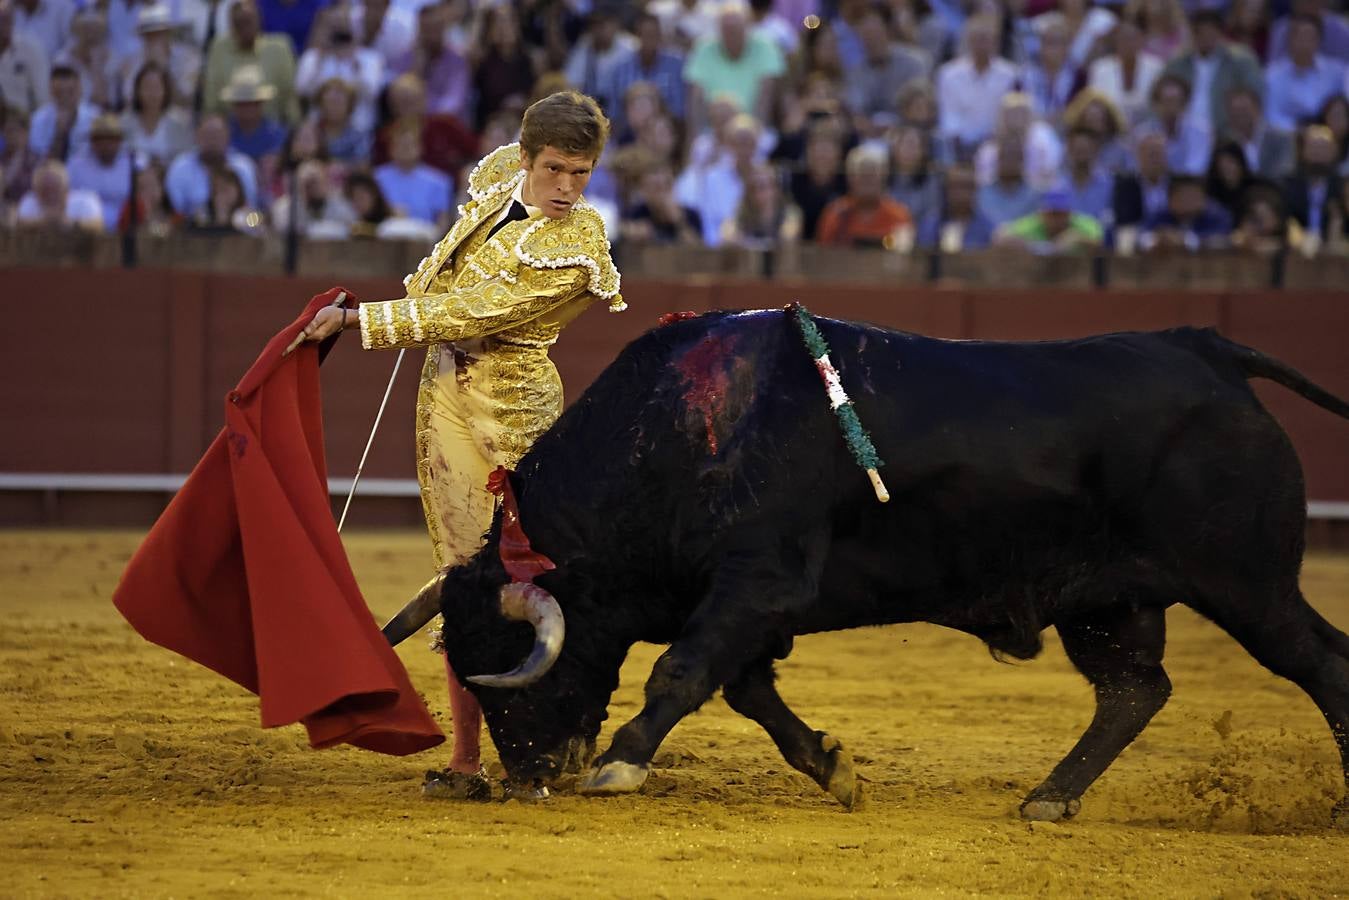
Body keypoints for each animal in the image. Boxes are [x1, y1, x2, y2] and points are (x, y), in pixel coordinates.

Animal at [385, 310, 1349, 825]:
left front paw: (621, 763)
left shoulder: (757, 581)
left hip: (1245, 583)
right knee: (1132, 690)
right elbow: (747, 692)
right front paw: (835, 769)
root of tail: (1206, 348)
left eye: (511, 667)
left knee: (1319, 663)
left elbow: (682, 671)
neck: (672, 436)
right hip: (1108, 599)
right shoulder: (749, 604)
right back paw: (1047, 797)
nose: (529, 778)